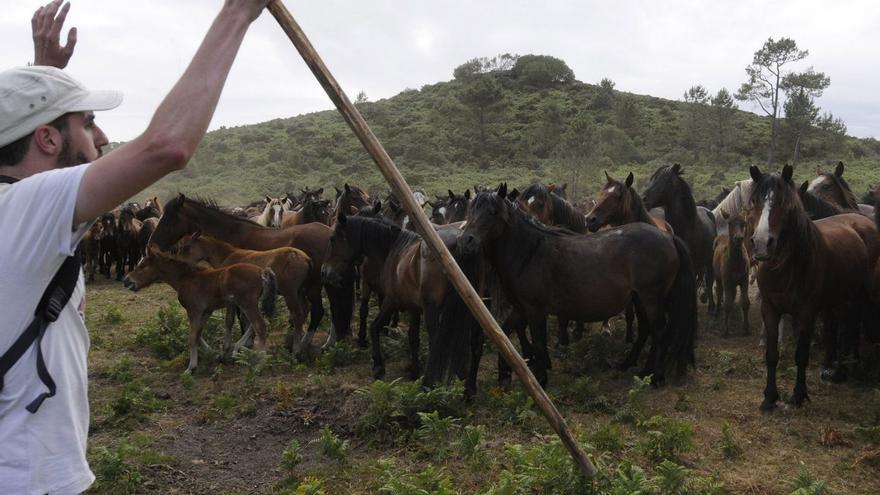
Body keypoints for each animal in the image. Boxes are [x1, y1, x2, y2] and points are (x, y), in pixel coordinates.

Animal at [122, 246, 276, 374]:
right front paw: (215, 354)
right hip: (248, 304)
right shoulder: (206, 311)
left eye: (142, 266)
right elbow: (198, 334)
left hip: (247, 304)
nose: (126, 281)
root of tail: (261, 271)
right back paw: (237, 349)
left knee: (260, 325)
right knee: (254, 325)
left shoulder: (194, 310)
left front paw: (191, 367)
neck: (186, 278)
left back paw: (260, 365)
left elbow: (192, 337)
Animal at [175, 233, 312, 356]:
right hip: (300, 292)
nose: (179, 262)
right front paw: (246, 343)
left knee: (297, 314)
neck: (226, 256)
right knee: (304, 310)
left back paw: (296, 348)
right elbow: (246, 320)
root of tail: (305, 257)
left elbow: (230, 320)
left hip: (290, 293)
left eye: (186, 247)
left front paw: (228, 346)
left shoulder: (232, 300)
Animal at [458, 185, 696, 388]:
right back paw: (635, 367)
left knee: (660, 333)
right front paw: (506, 375)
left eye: (492, 212)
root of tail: (669, 238)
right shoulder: (521, 309)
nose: (465, 240)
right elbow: (505, 336)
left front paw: (540, 379)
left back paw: (656, 377)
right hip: (640, 299)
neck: (530, 252)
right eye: (471, 210)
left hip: (651, 299)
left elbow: (539, 343)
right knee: (648, 330)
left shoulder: (535, 311)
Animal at [744, 166, 876, 410]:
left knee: (852, 325)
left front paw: (798, 395)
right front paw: (769, 398)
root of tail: (860, 219)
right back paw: (839, 371)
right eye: (755, 201)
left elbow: (801, 355)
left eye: (783, 203)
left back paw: (850, 366)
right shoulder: (770, 309)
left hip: (861, 293)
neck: (785, 266)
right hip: (840, 297)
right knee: (844, 324)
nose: (761, 244)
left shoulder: (806, 312)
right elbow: (772, 354)